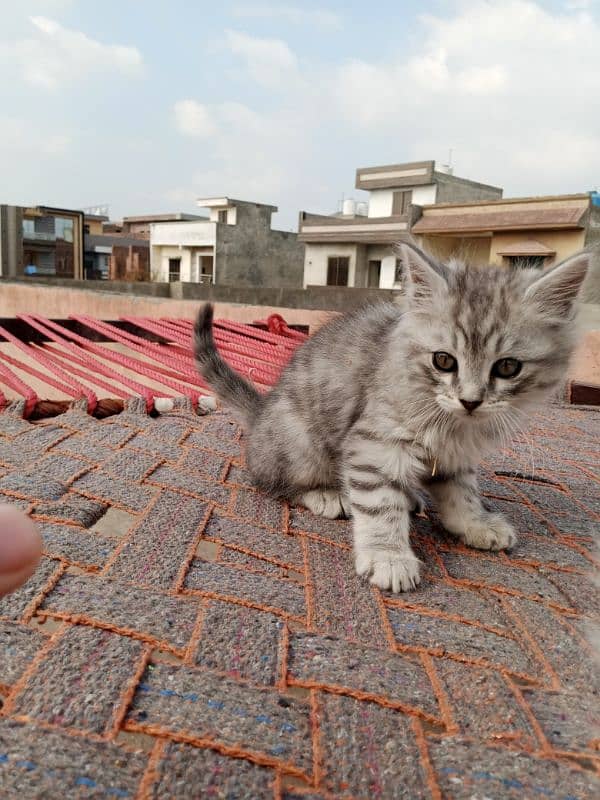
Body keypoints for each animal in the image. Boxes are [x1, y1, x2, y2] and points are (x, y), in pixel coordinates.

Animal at [195, 241, 588, 592]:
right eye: (444, 360)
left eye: (508, 367)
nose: (470, 401)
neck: (454, 425)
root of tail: (262, 412)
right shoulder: (376, 444)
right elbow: (380, 504)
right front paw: (389, 557)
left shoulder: (455, 456)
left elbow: (462, 492)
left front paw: (474, 523)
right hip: (298, 442)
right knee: (272, 480)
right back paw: (327, 494)